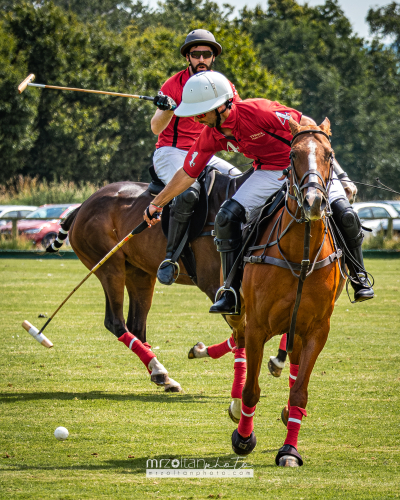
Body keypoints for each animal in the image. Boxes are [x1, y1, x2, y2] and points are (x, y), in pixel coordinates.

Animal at [54, 167, 250, 390]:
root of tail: (82, 206)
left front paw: (200, 350)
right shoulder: (214, 285)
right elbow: (242, 331)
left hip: (140, 273)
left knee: (137, 325)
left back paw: (160, 374)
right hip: (110, 266)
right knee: (115, 321)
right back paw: (159, 370)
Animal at [230, 118, 346, 468]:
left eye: (329, 154)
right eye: (293, 154)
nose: (313, 202)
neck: (301, 254)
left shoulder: (317, 330)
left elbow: (300, 392)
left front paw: (290, 451)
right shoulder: (257, 326)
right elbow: (251, 390)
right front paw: (243, 438)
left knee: (294, 368)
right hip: (240, 314)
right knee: (239, 349)